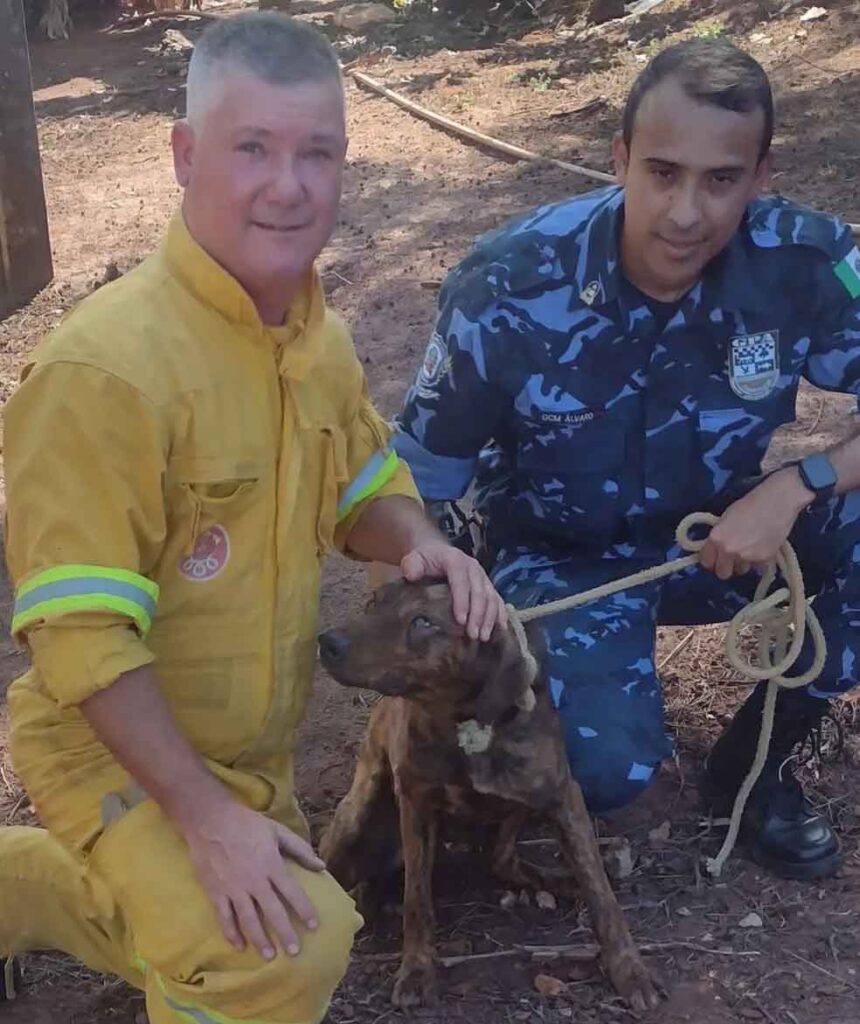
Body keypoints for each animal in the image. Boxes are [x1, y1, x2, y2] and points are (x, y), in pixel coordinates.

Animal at [315, 581, 659, 1011]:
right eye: (373, 602)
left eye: (423, 622)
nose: (327, 642)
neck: (463, 722)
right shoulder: (415, 802)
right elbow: (417, 898)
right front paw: (417, 969)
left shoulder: (563, 797)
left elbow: (602, 896)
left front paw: (629, 969)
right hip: (355, 821)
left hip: (517, 812)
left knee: (501, 859)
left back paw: (558, 879)